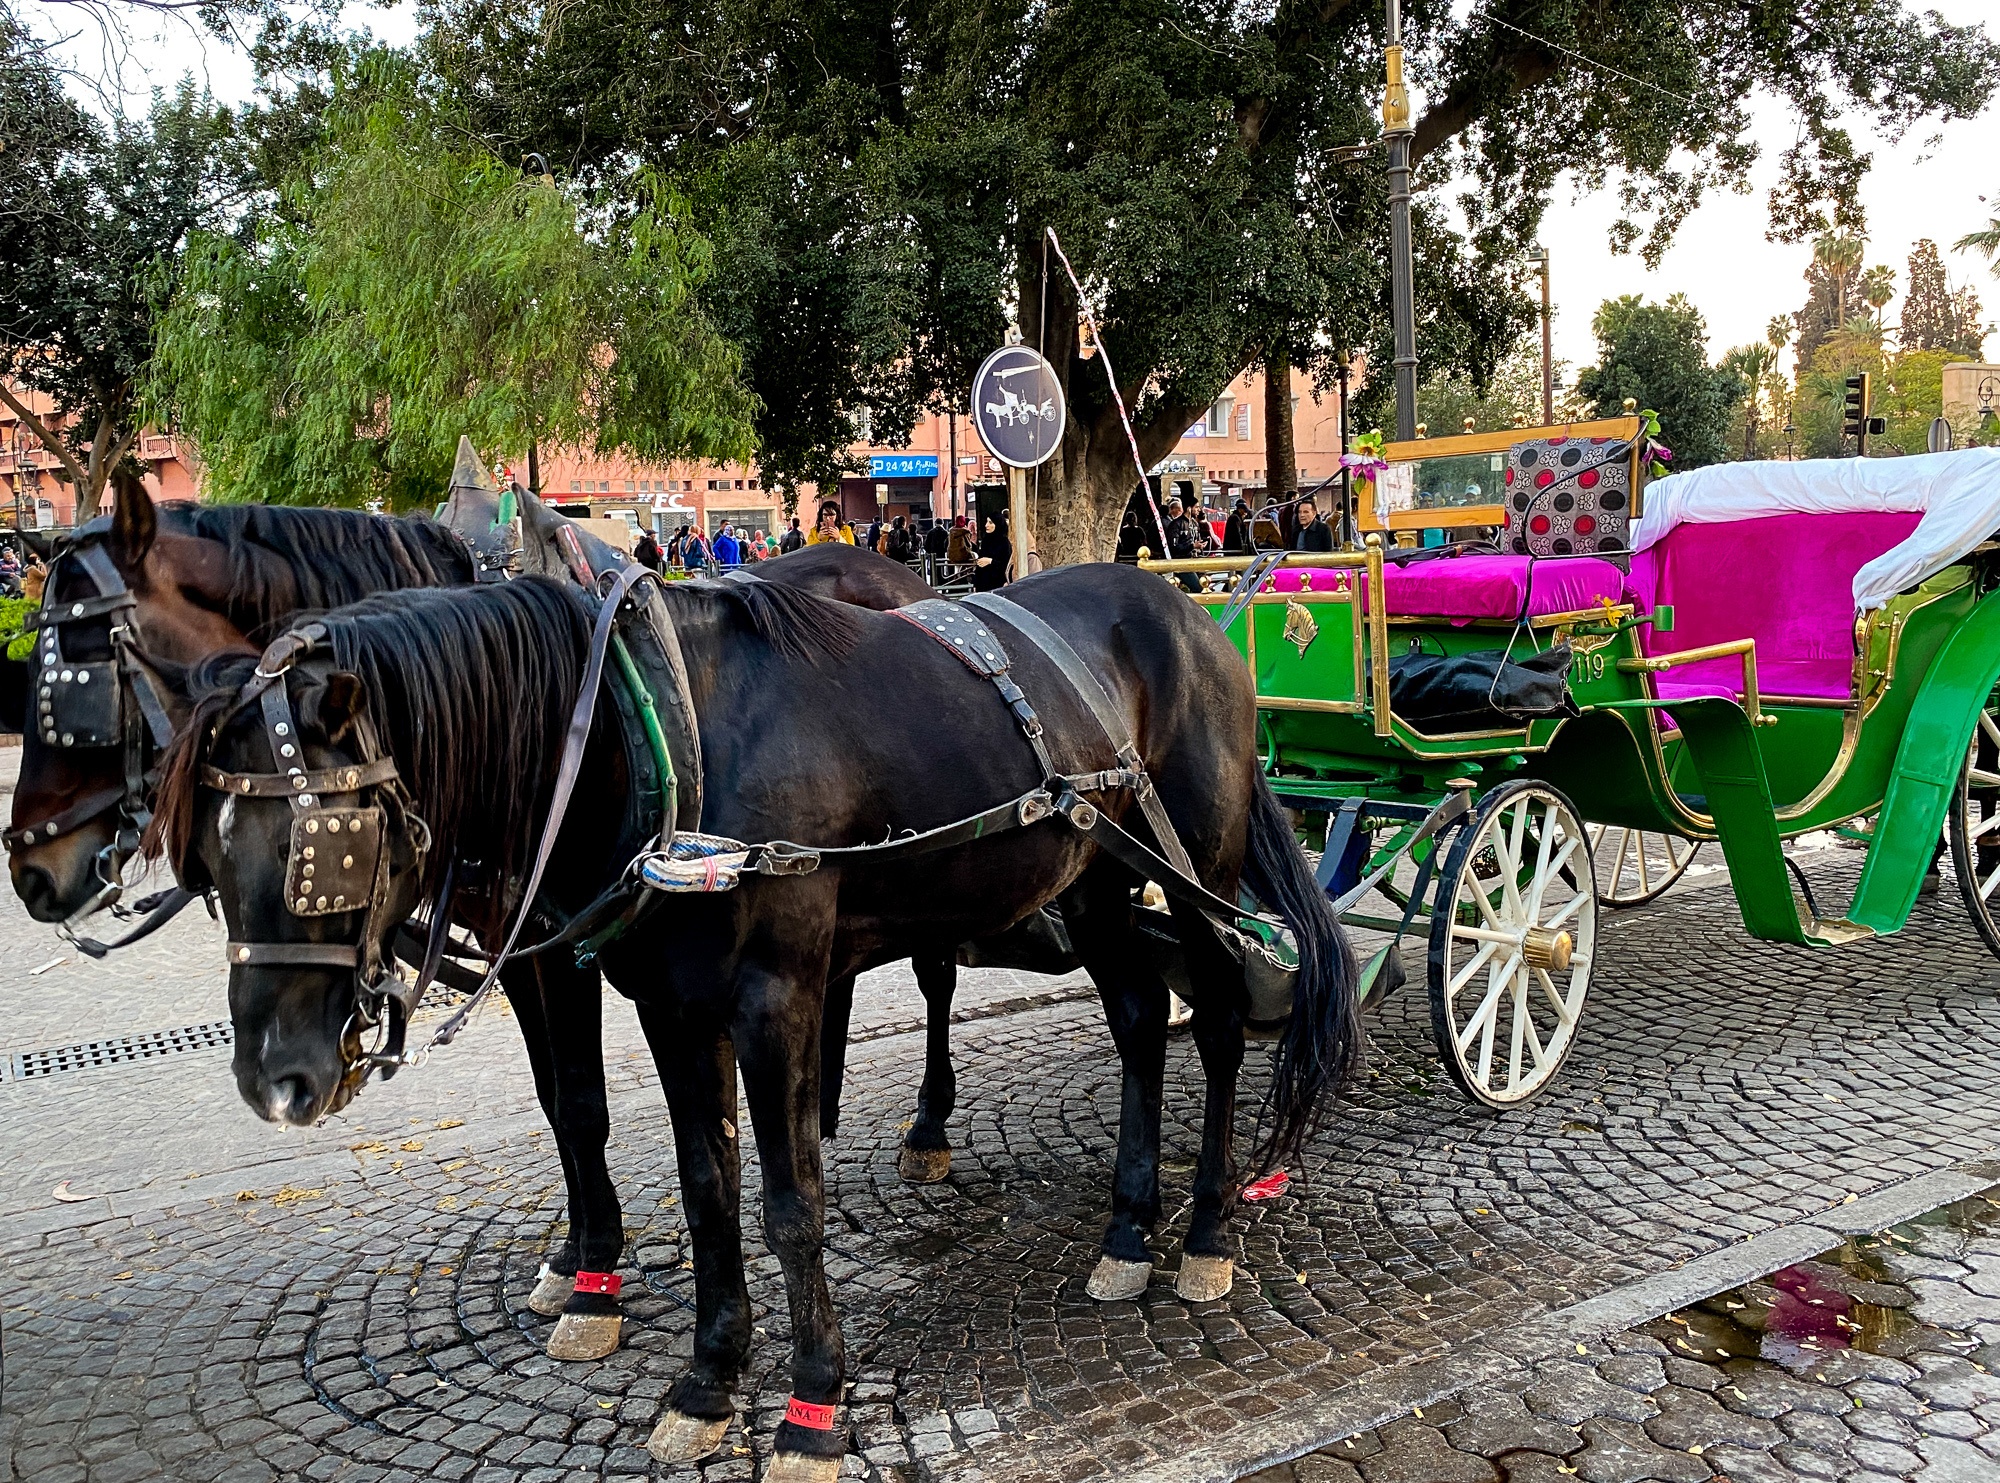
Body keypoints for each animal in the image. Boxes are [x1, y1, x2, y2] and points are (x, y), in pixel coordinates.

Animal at [156, 567, 1360, 1479]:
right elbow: (704, 1189)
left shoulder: (775, 998)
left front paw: (811, 1406)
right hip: (1103, 879)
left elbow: (789, 1205)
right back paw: (1125, 1230)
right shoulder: (669, 1006)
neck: (653, 737)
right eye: (208, 857)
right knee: (1138, 1016)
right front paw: (705, 1377)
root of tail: (1189, 609)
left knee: (1213, 1024)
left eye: (322, 847)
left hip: (1198, 872)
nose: (275, 1080)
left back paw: (1204, 1234)